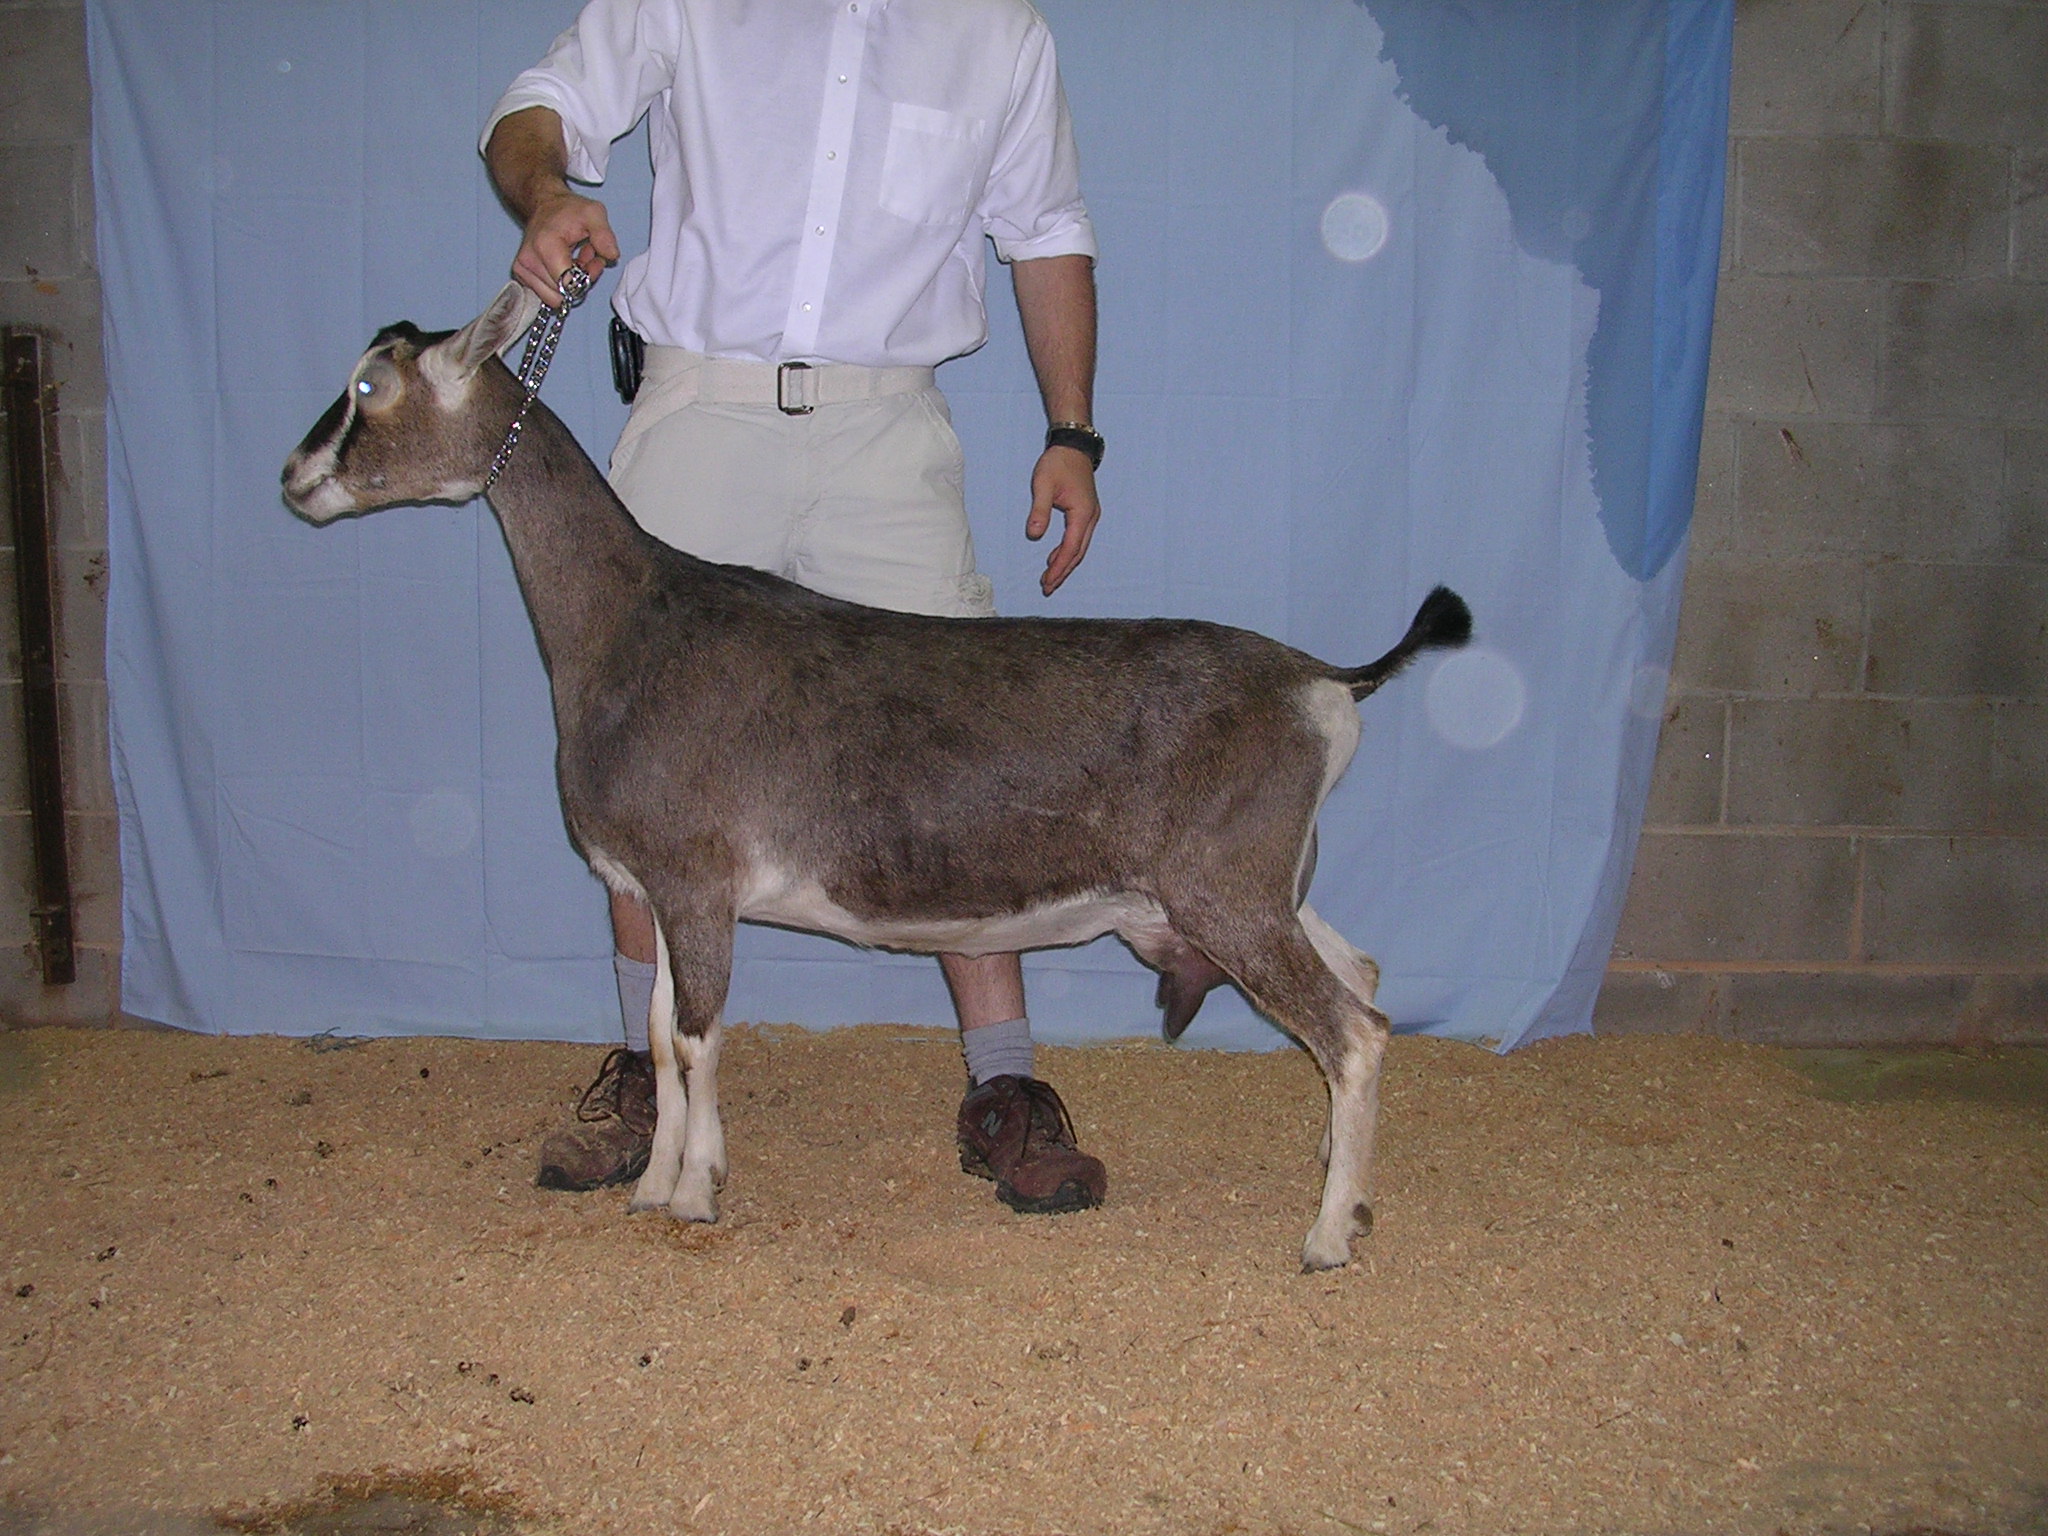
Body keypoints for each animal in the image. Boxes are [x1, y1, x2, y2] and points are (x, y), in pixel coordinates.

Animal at [281, 284, 1473, 1270]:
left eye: (368, 385)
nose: (294, 479)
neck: (628, 625)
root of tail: (1323, 682)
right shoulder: (654, 888)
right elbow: (661, 1036)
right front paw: (660, 1183)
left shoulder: (696, 878)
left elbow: (698, 1035)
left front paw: (693, 1196)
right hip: (1266, 884)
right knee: (1365, 977)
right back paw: (1342, 1179)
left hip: (1226, 892)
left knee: (1354, 1030)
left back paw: (1326, 1236)